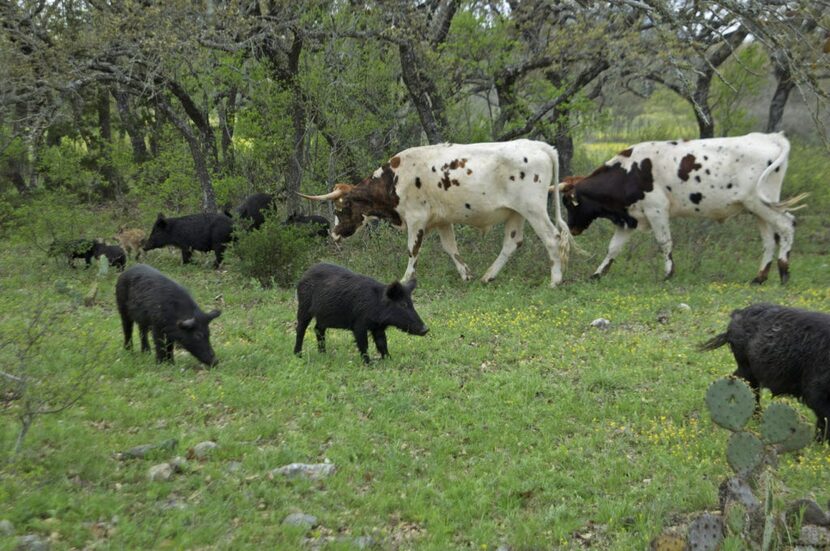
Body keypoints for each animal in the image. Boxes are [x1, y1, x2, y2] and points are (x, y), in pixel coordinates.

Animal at [302, 140, 576, 288]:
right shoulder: (443, 221)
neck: (394, 178)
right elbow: (451, 248)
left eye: (340, 208)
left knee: (552, 239)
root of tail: (538, 145)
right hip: (515, 212)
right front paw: (465, 274)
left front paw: (406, 278)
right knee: (512, 243)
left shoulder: (416, 219)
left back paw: (555, 280)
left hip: (533, 208)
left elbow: (413, 250)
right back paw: (488, 276)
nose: (334, 233)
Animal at [560, 132, 808, 282]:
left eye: (569, 204)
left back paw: (784, 272)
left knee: (787, 225)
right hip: (758, 209)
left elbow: (664, 242)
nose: (572, 228)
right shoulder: (629, 219)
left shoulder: (656, 210)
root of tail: (770, 137)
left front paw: (669, 273)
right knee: (769, 239)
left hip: (761, 203)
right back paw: (760, 277)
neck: (630, 171)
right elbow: (613, 248)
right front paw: (597, 273)